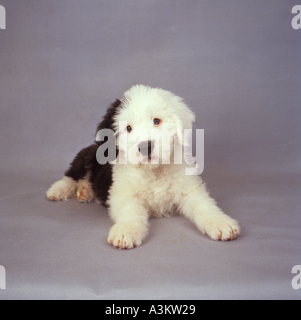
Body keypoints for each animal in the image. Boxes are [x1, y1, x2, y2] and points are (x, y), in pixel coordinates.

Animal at [46, 85, 239, 250]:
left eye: (157, 121)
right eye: (128, 128)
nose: (146, 147)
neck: (154, 171)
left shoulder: (189, 189)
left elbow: (204, 206)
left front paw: (222, 223)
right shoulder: (123, 194)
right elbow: (131, 211)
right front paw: (126, 232)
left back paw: (86, 191)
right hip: (88, 155)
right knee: (71, 175)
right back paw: (58, 190)